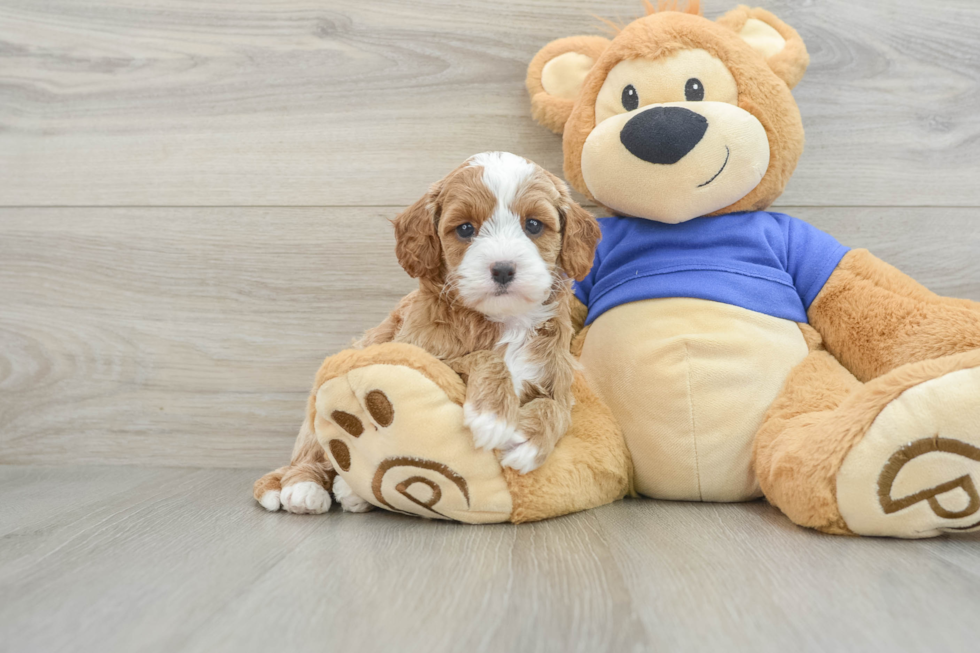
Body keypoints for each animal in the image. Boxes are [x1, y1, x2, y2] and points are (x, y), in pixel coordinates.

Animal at [253, 153, 600, 516]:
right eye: (465, 229)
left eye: (533, 225)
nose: (503, 268)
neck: (504, 321)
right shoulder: (420, 353)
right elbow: (483, 357)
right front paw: (492, 416)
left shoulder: (555, 374)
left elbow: (556, 408)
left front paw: (528, 441)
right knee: (312, 450)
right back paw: (303, 488)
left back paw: (351, 493)